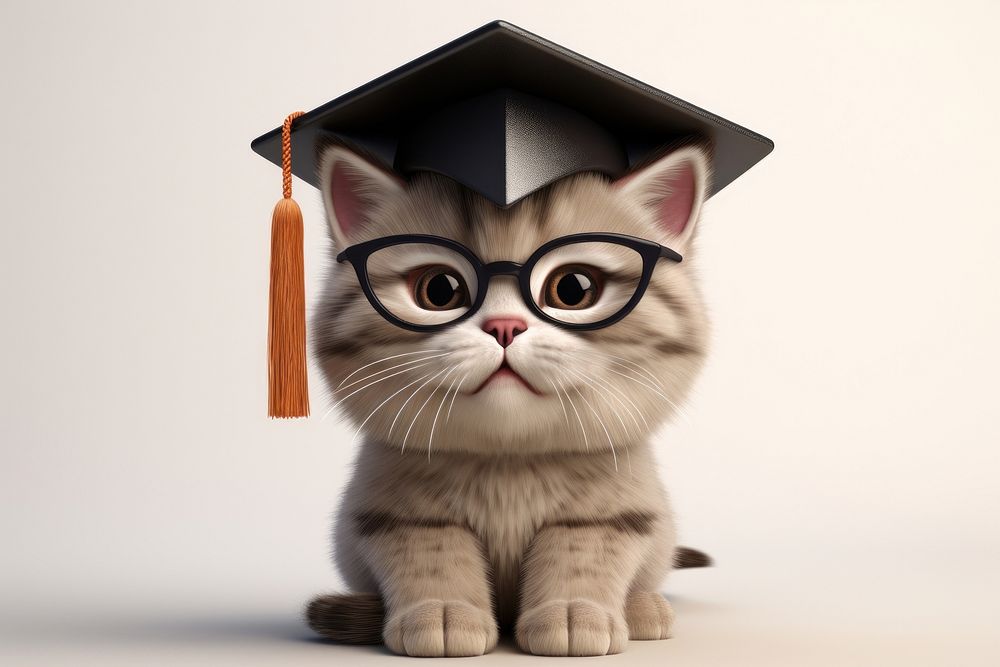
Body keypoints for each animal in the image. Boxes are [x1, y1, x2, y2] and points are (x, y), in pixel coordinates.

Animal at [302, 136, 712, 656]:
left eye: (573, 288)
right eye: (440, 289)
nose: (504, 327)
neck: (508, 461)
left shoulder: (617, 515)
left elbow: (582, 552)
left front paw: (574, 612)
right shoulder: (393, 517)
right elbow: (432, 555)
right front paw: (442, 612)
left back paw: (643, 608)